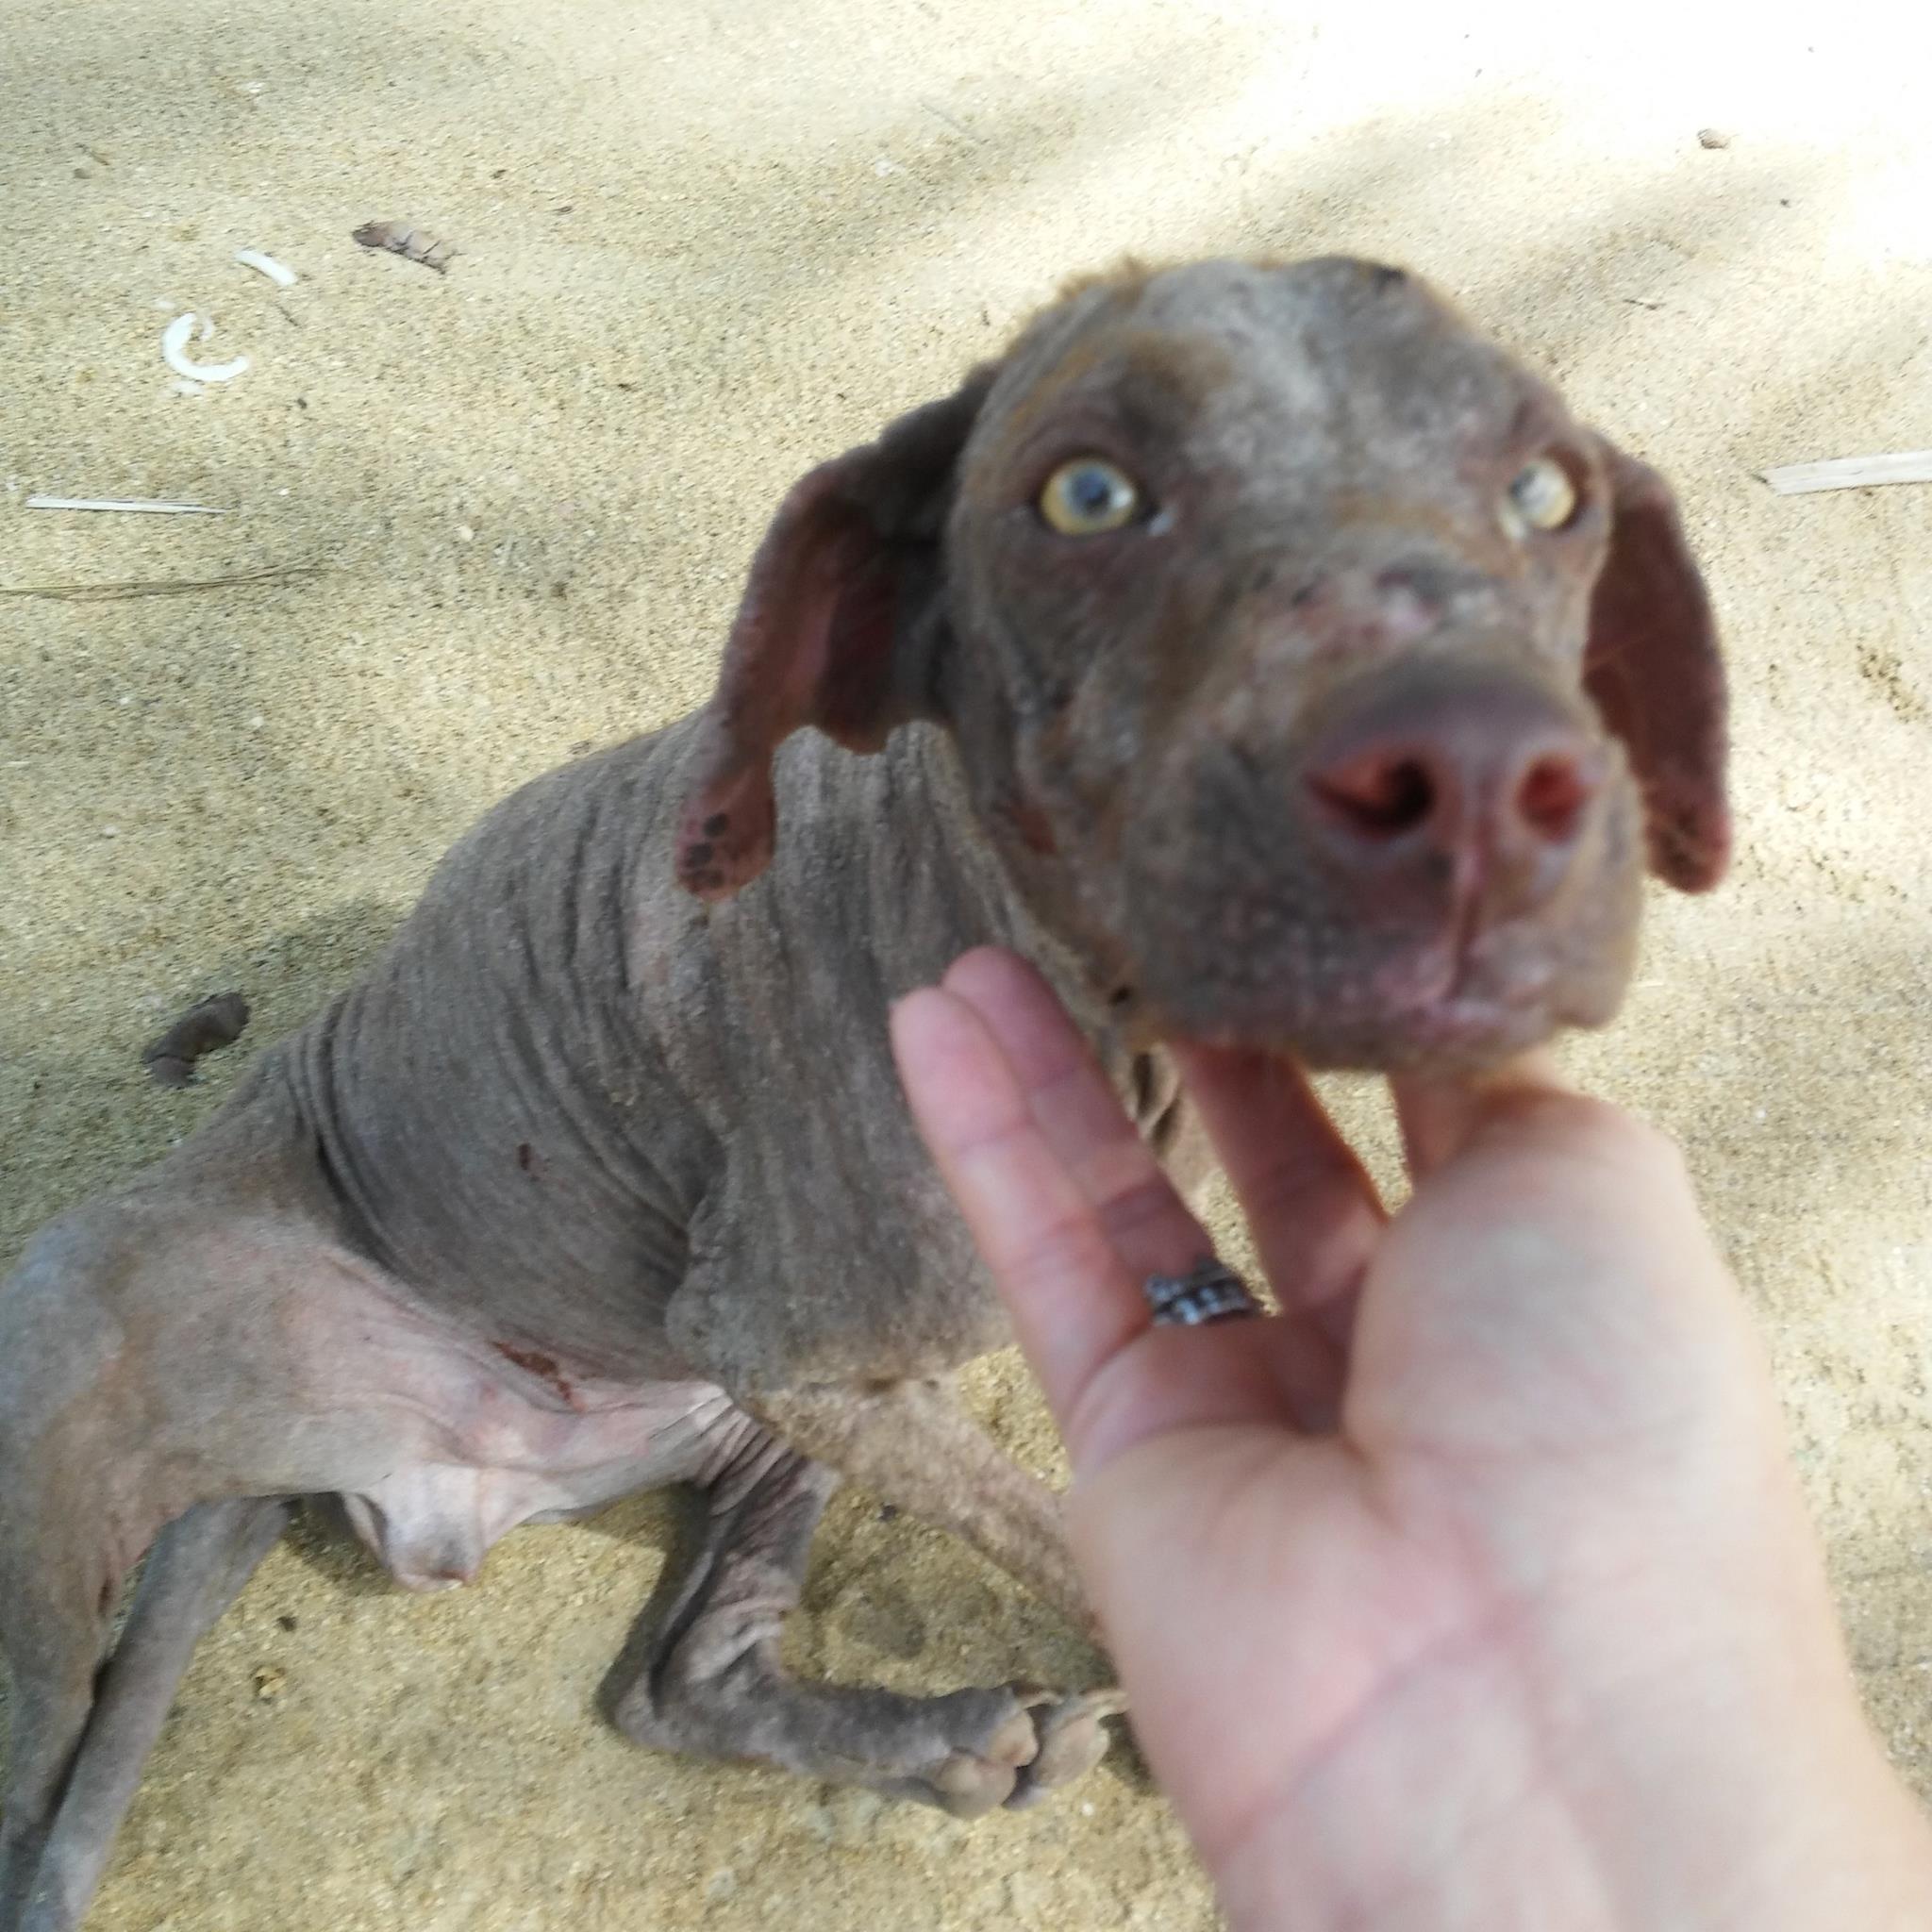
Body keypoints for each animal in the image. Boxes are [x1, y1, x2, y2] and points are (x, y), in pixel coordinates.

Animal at [0, 260, 1723, 1932]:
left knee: (678, 1680)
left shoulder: (829, 1380)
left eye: (1545, 493)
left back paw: (938, 1741)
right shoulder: (806, 1349)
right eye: (1087, 497)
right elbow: (1071, 1536)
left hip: (754, 1432)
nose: (1474, 779)